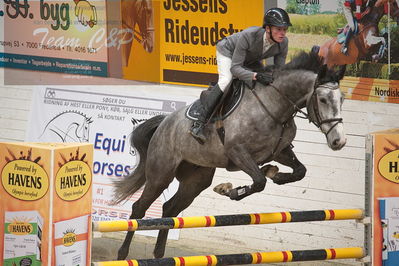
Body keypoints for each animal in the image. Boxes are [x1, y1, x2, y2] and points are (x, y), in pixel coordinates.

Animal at [111, 51, 346, 260]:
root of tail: (164, 123)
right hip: (161, 174)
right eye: (323, 99)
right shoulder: (238, 152)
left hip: (196, 180)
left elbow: (299, 171)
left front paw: (275, 174)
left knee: (170, 209)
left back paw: (159, 254)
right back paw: (122, 254)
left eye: (342, 99)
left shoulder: (279, 151)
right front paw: (231, 190)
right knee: (139, 209)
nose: (339, 141)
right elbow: (259, 181)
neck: (275, 106)